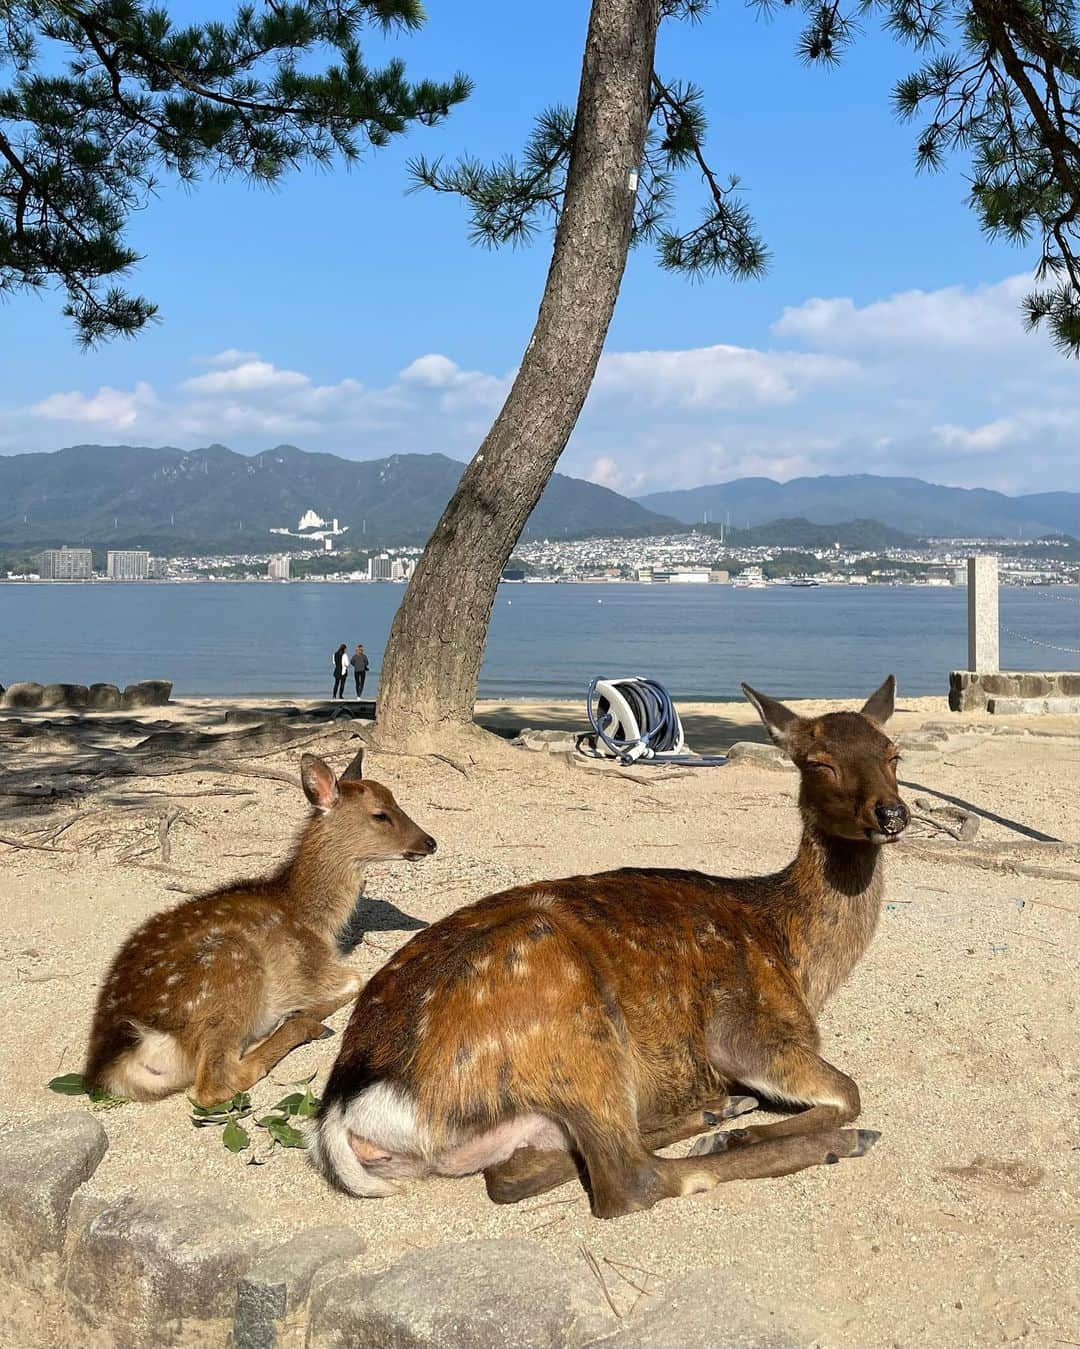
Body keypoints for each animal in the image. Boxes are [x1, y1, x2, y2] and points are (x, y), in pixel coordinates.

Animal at [83, 750, 434, 1106]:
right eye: (380, 814)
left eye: (395, 800)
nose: (430, 842)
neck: (314, 919)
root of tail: (120, 1060)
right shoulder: (313, 966)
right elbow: (354, 980)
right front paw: (301, 1011)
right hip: (230, 970)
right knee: (213, 1084)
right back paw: (300, 1025)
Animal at [314, 679, 911, 1219]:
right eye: (818, 763)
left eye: (893, 754)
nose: (892, 814)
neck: (793, 954)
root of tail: (349, 1109)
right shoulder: (747, 1029)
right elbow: (850, 1091)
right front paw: (759, 1132)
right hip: (572, 1024)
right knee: (630, 1180)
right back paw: (819, 1139)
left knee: (516, 1171)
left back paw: (718, 1110)